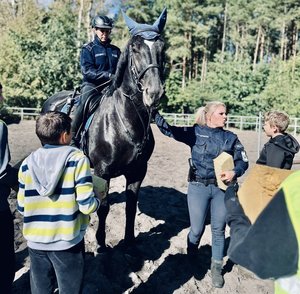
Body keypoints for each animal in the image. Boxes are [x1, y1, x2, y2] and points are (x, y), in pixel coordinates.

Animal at [41, 12, 166, 250]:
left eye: (162, 47)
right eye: (135, 48)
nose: (154, 93)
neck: (125, 121)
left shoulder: (138, 172)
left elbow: (130, 207)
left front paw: (130, 243)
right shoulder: (102, 171)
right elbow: (104, 208)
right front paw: (100, 242)